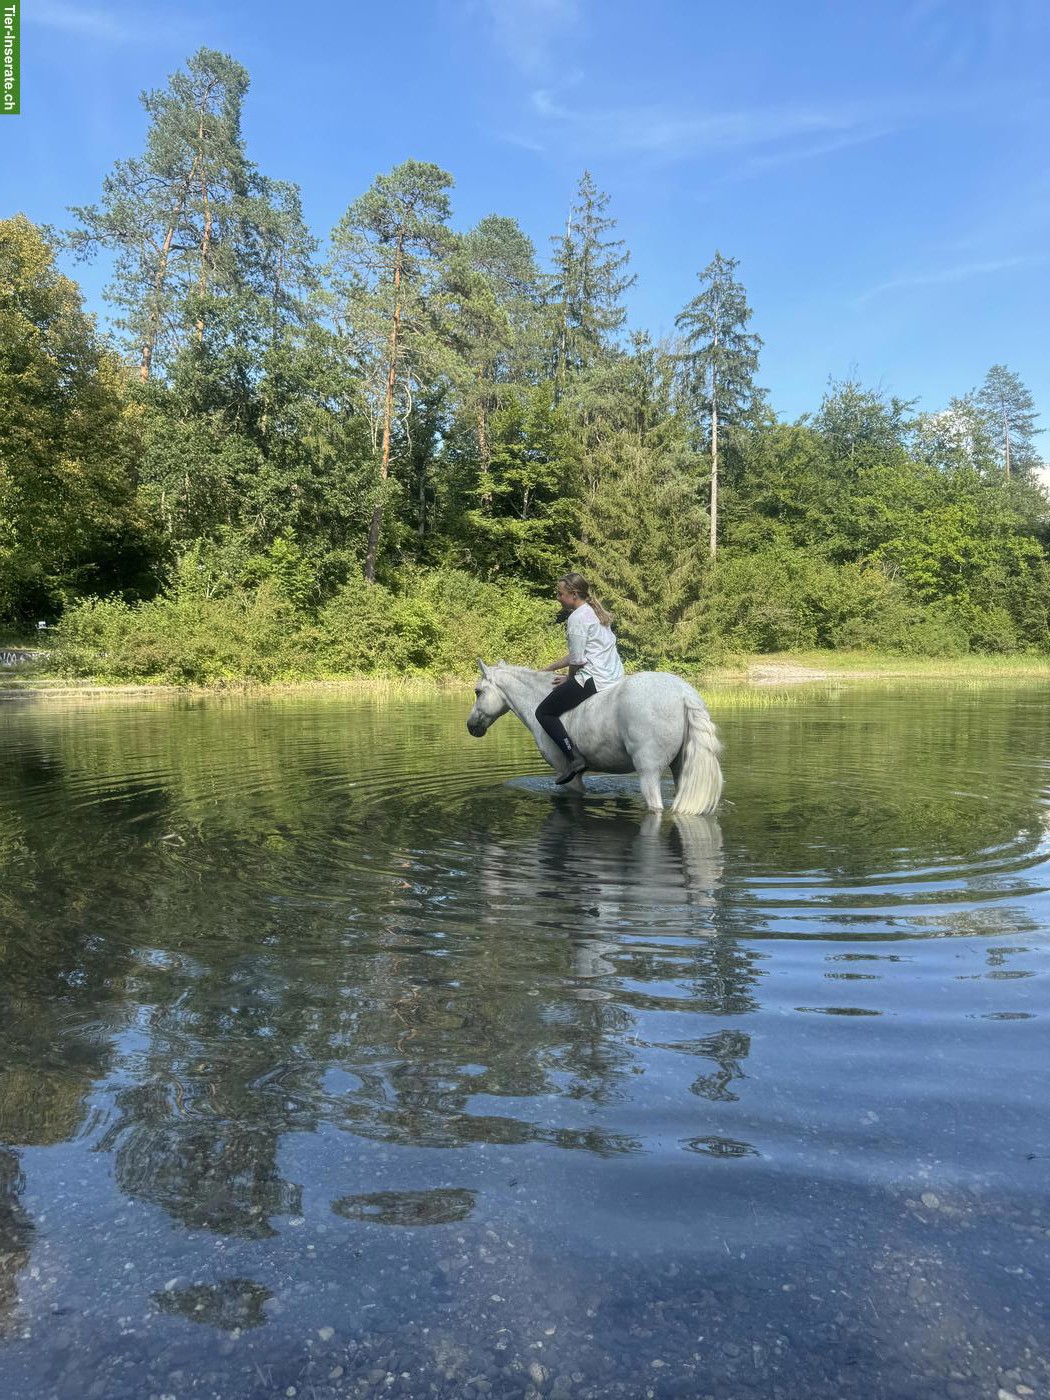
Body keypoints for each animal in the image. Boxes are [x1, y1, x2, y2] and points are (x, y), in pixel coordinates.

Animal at [466, 660, 723, 815]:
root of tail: (683, 694)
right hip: (681, 769)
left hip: (649, 773)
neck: (537, 700)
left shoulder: (568, 776)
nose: (470, 726)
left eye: (478, 692)